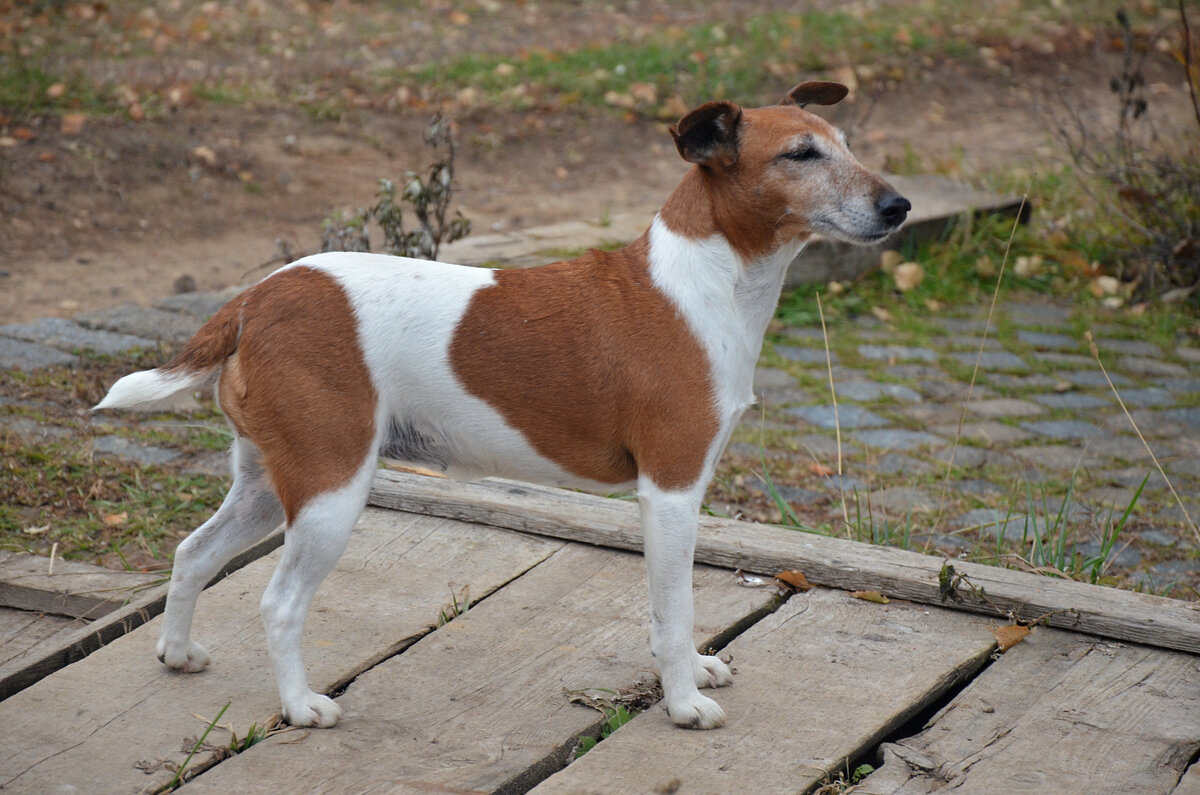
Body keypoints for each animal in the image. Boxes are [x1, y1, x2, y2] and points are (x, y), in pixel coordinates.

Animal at [96, 82, 907, 734]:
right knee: (280, 603)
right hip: (330, 491)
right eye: (800, 155)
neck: (703, 280)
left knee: (193, 553)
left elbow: (668, 612)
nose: (899, 204)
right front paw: (682, 703)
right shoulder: (671, 494)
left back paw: (178, 653)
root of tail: (254, 297)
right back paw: (301, 706)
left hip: (268, 483)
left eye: (845, 146)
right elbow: (672, 613)